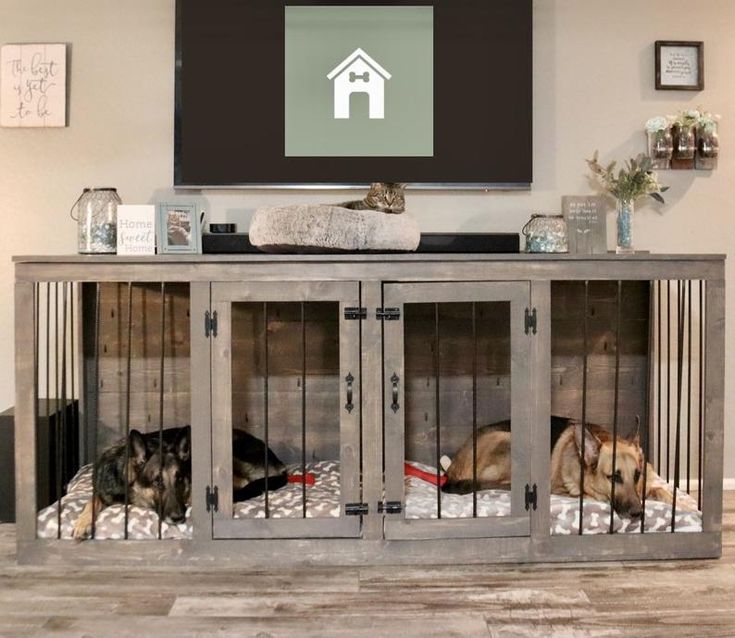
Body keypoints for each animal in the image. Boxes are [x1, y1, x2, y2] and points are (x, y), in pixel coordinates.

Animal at [442, 420, 696, 520]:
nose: (637, 514)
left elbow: (660, 490)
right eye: (613, 477)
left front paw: (686, 505)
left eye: (636, 475)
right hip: (511, 442)